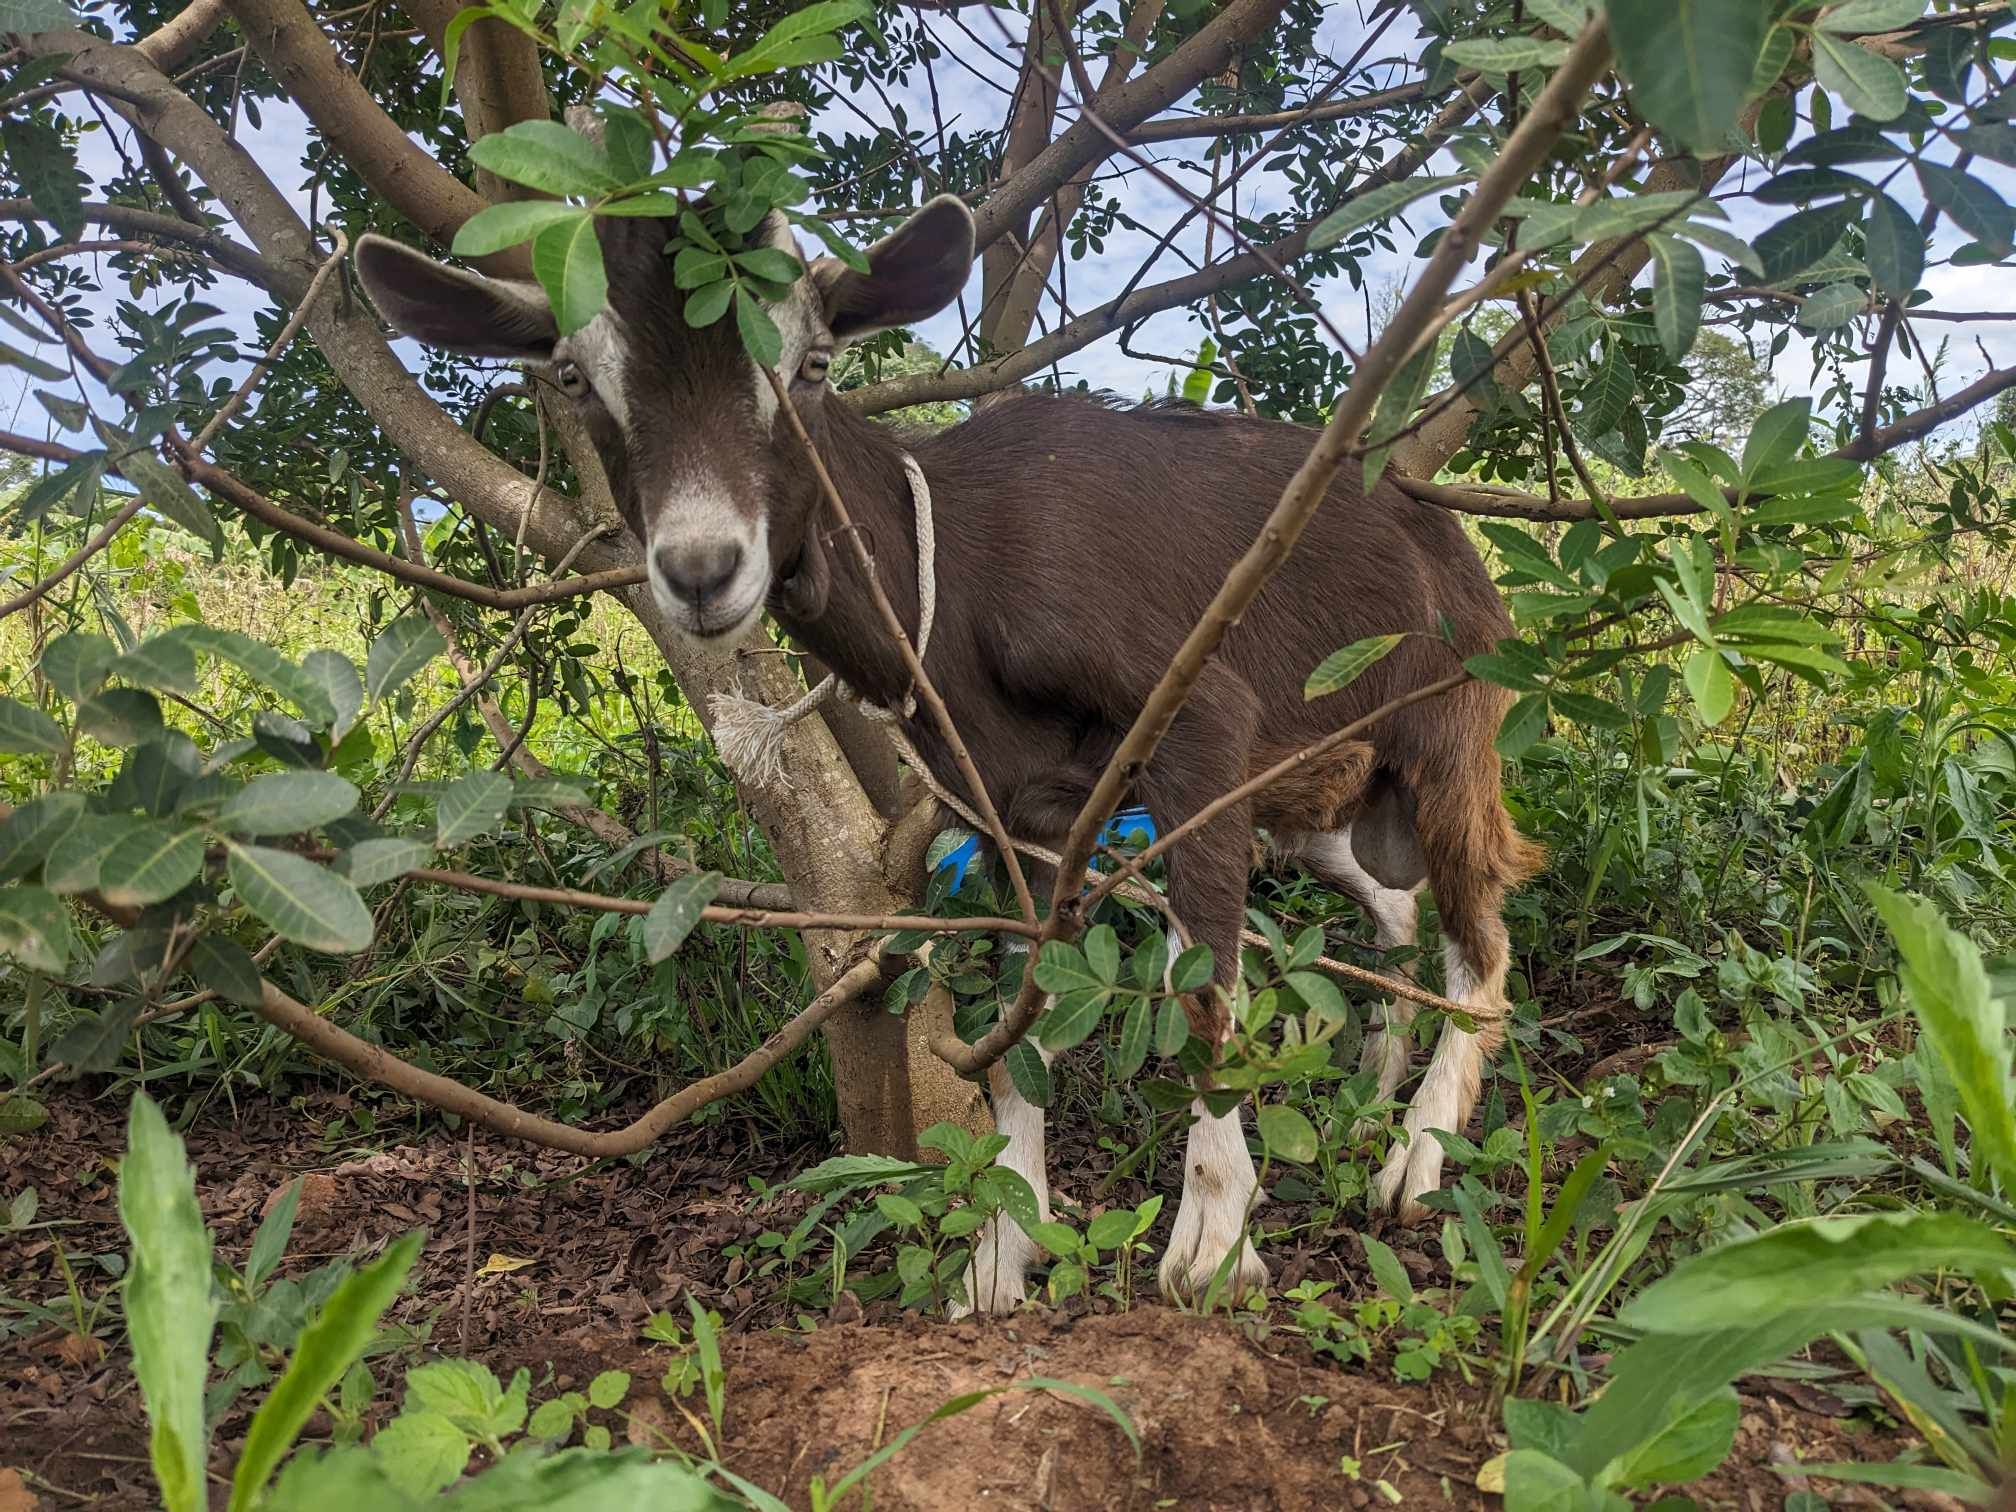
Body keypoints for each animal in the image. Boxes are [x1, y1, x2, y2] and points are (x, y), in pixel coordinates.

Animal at [355, 197, 1541, 1313]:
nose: (700, 570)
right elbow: (1012, 1027)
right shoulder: (1011, 809)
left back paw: (1415, 1161)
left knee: (1481, 940)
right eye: (572, 373)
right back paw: (1376, 1084)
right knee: (1394, 907)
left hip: (1447, 721)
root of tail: (1455, 545)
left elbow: (1203, 988)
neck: (953, 582)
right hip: (1318, 798)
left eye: (812, 365)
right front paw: (999, 1257)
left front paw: (1213, 1249)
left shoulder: (1200, 722)